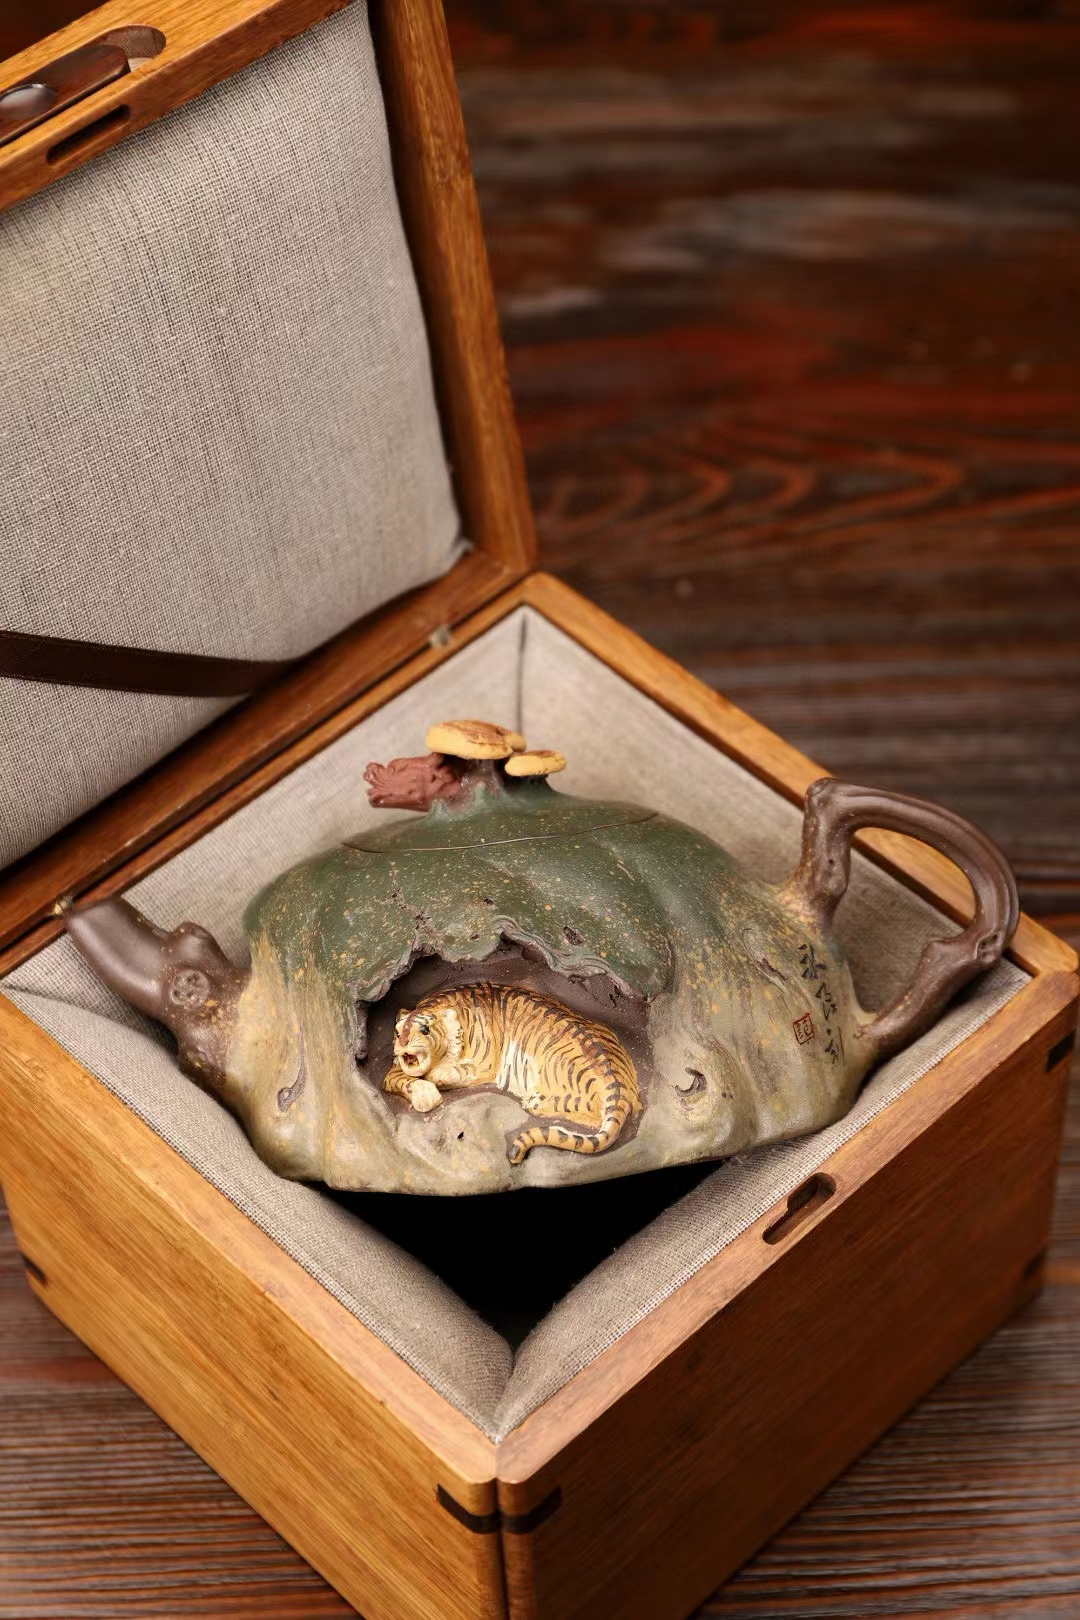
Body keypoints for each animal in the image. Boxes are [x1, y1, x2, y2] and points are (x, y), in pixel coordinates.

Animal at [384, 982, 642, 1164]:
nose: (403, 1043)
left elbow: (439, 1074)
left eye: (425, 1030)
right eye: (397, 1032)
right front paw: (423, 1094)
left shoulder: (482, 1066)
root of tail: (616, 1081)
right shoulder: (394, 1070)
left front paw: (432, 1087)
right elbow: (399, 1078)